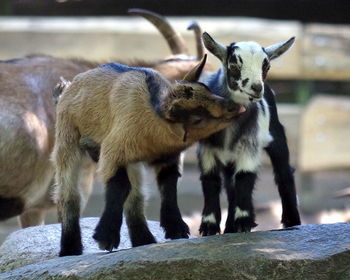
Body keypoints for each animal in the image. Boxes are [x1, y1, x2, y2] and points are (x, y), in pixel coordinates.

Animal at [196, 31, 302, 235]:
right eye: (234, 65)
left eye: (266, 66)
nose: (257, 87)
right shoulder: (207, 150)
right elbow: (210, 180)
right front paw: (209, 226)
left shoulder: (249, 145)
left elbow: (245, 178)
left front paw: (243, 222)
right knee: (230, 185)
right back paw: (229, 227)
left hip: (277, 137)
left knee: (284, 173)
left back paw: (292, 221)